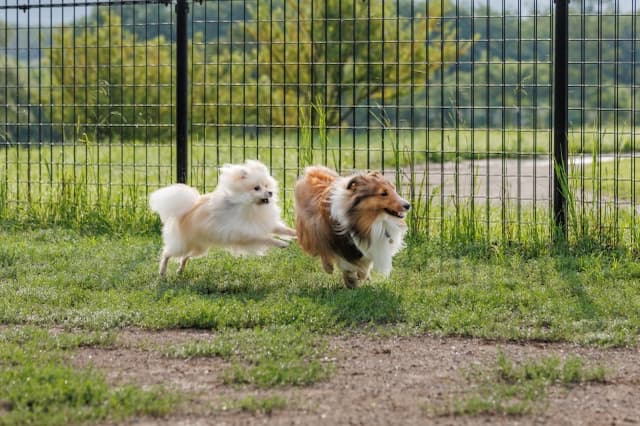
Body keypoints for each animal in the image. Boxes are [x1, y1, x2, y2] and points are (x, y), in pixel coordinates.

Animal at [151, 160, 298, 276]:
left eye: (266, 185)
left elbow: (283, 230)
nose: (270, 192)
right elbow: (267, 239)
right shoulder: (247, 234)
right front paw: (282, 243)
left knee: (185, 257)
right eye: (256, 188)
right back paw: (162, 272)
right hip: (182, 245)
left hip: (200, 248)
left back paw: (180, 269)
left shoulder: (264, 223)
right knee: (167, 253)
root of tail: (186, 209)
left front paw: (296, 233)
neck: (249, 206)